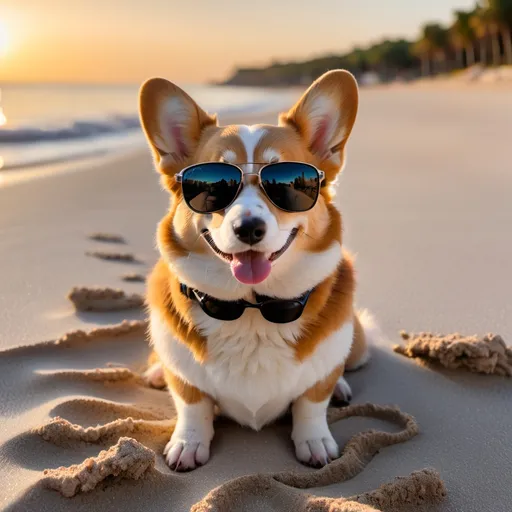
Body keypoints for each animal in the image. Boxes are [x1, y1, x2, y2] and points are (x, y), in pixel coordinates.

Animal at [139, 69, 376, 472]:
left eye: (291, 183)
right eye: (210, 185)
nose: (249, 228)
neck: (252, 309)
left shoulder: (318, 382)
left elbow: (312, 401)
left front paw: (315, 441)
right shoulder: (187, 381)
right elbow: (192, 404)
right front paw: (188, 444)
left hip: (358, 343)